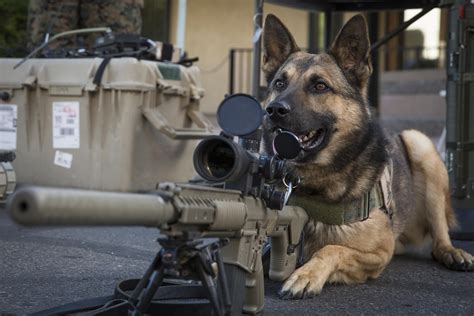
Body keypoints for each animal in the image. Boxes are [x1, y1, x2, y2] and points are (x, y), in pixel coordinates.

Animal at [262, 13, 472, 298]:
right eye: (279, 84)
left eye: (320, 86)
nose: (274, 110)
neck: (313, 186)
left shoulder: (380, 253)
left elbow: (332, 249)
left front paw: (306, 275)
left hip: (420, 143)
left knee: (439, 234)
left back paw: (452, 252)